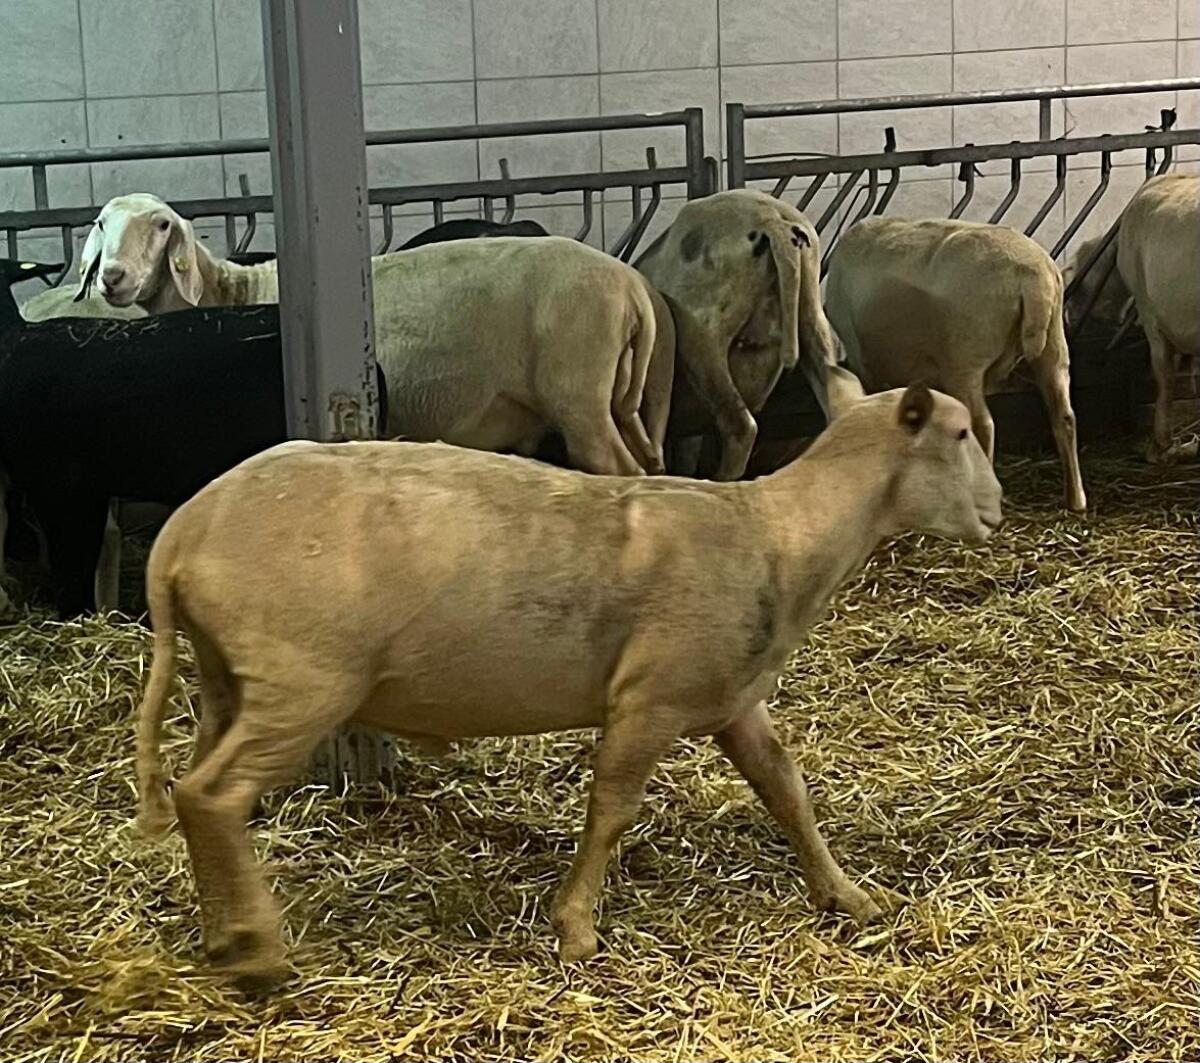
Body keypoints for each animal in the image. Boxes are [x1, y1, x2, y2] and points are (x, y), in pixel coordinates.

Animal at [133, 368, 1003, 987]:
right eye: (961, 433)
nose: (997, 509)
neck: (781, 535)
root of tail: (183, 532)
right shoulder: (650, 697)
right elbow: (612, 807)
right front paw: (576, 926)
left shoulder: (732, 698)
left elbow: (786, 789)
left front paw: (845, 893)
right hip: (302, 677)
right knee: (214, 795)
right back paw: (259, 954)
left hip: (230, 677)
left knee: (194, 791)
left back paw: (222, 934)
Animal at [825, 217, 1087, 512]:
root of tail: (1033, 277)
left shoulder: (861, 357)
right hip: (1053, 345)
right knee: (1064, 416)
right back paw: (1075, 499)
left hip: (965, 358)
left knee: (983, 425)